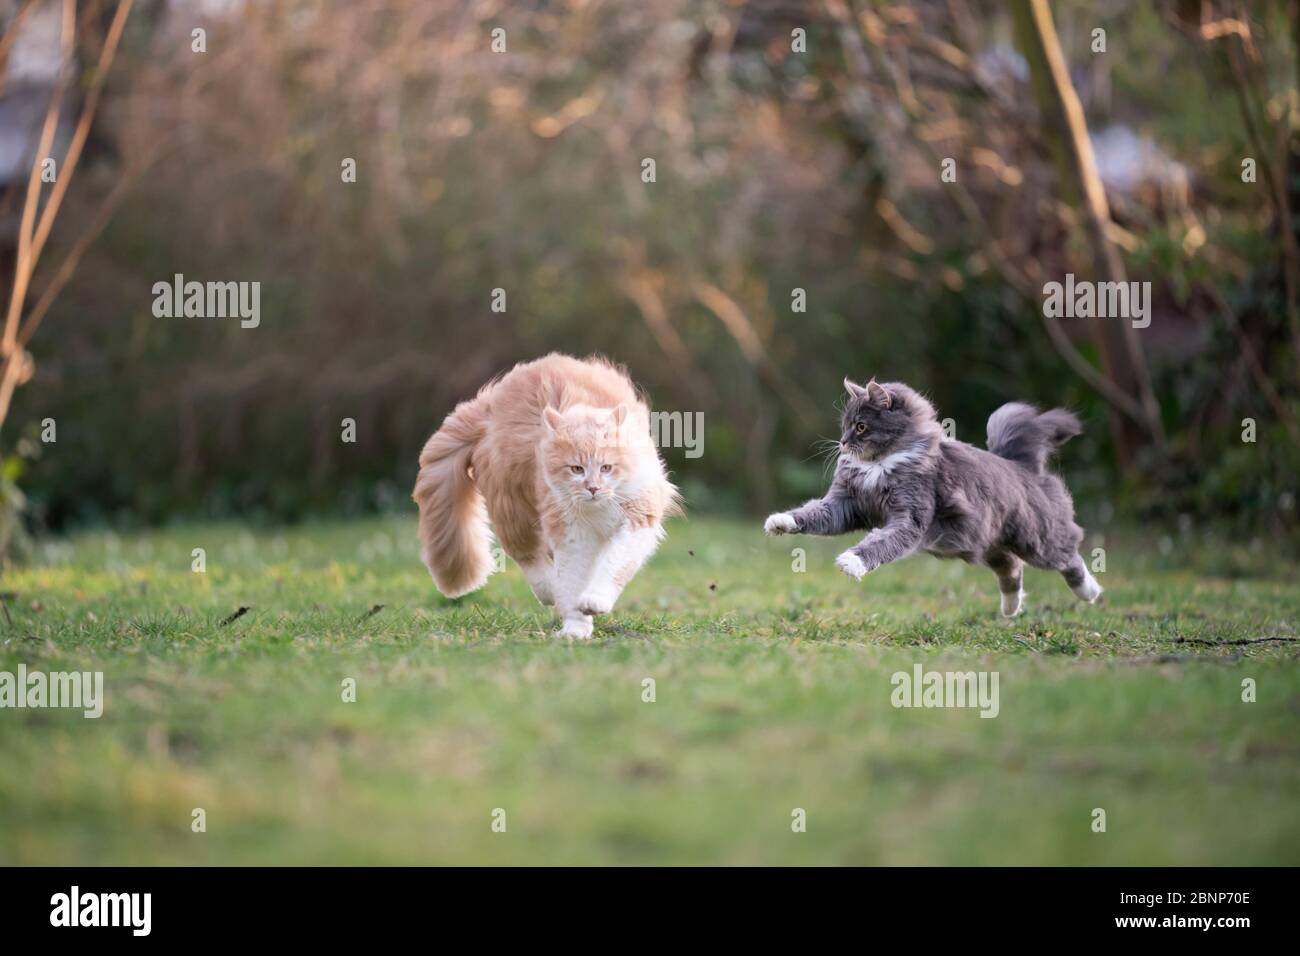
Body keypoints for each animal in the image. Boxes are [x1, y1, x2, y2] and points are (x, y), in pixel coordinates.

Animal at [413, 356, 681, 639]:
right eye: (576, 469)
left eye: (607, 467)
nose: (593, 488)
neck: (596, 509)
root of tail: (489, 401)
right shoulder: (570, 534)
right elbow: (572, 581)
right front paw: (575, 628)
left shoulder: (637, 519)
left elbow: (612, 565)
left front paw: (593, 602)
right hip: (511, 505)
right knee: (528, 556)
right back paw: (551, 592)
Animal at [764, 377, 1102, 616]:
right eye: (845, 426)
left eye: (860, 426)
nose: (843, 442)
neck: (879, 465)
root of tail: (1021, 464)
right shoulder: (844, 505)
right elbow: (810, 513)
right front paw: (779, 522)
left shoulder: (909, 518)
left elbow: (877, 543)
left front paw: (851, 562)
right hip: (987, 544)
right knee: (1012, 568)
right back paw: (1010, 610)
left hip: (1035, 540)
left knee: (1069, 556)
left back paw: (1090, 593)